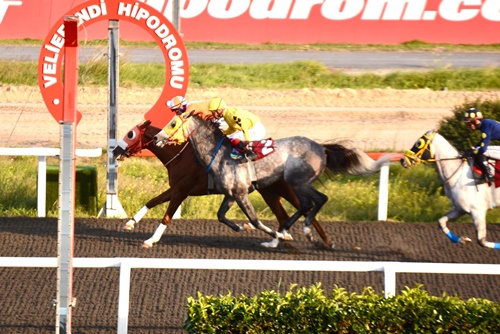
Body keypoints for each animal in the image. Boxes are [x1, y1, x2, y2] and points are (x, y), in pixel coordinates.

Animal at [111, 120, 334, 248]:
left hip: (286, 188)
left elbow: (167, 216)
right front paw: (130, 222)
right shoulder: (176, 188)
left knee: (306, 209)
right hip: (270, 193)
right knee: (285, 216)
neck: (180, 156)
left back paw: (323, 239)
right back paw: (279, 239)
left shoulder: (181, 191)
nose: (115, 150)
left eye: (130, 134)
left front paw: (151, 240)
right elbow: (152, 201)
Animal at [155, 113, 390, 241]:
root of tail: (321, 147)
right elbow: (221, 216)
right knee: (307, 204)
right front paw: (241, 227)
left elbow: (255, 220)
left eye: (173, 123)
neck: (219, 154)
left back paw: (304, 231)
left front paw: (275, 235)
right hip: (296, 184)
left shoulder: (241, 193)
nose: (157, 137)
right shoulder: (232, 194)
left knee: (316, 201)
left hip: (297, 182)